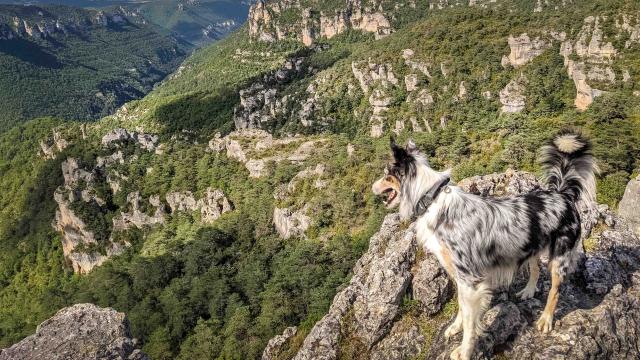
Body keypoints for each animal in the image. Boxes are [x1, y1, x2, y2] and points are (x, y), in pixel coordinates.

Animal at [372, 132, 596, 360]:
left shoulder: (470, 281)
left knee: (555, 290)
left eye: (387, 176)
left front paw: (465, 350)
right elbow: (462, 309)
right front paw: (456, 327)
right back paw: (528, 291)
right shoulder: (459, 276)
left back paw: (546, 319)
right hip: (531, 245)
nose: (372, 187)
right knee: (535, 268)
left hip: (560, 256)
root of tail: (562, 194)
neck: (431, 199)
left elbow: (471, 323)